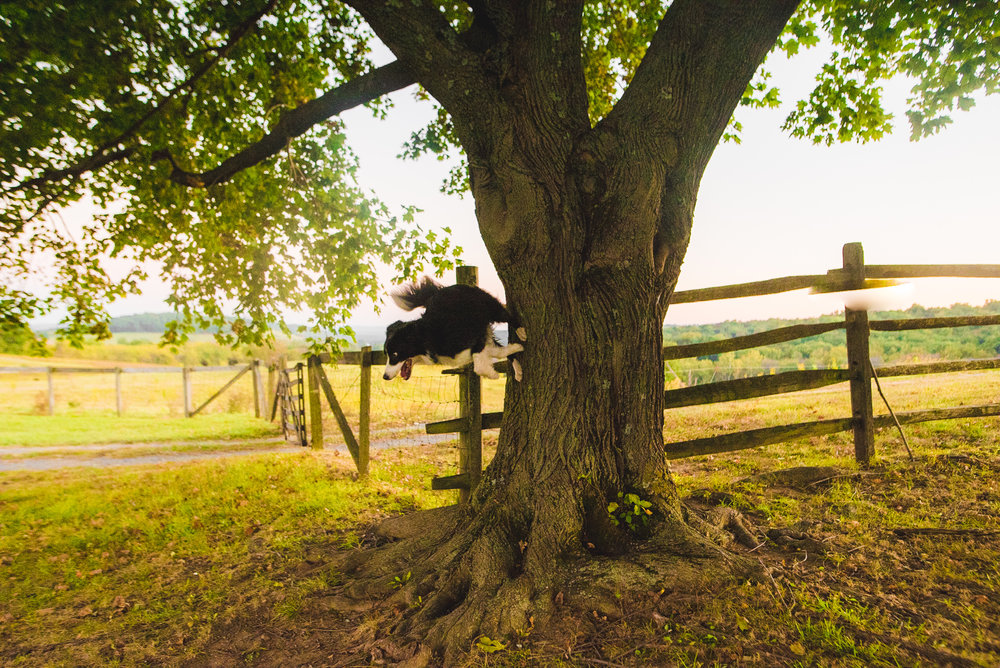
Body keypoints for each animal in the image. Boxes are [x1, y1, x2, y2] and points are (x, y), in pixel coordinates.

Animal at [382, 276, 528, 380]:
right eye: (386, 354)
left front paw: (493, 374)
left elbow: (479, 365)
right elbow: (495, 353)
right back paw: (518, 370)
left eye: (395, 354)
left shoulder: (475, 333)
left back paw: (521, 332)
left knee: (506, 315)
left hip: (489, 307)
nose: (385, 377)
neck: (428, 337)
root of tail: (443, 289)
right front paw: (515, 349)